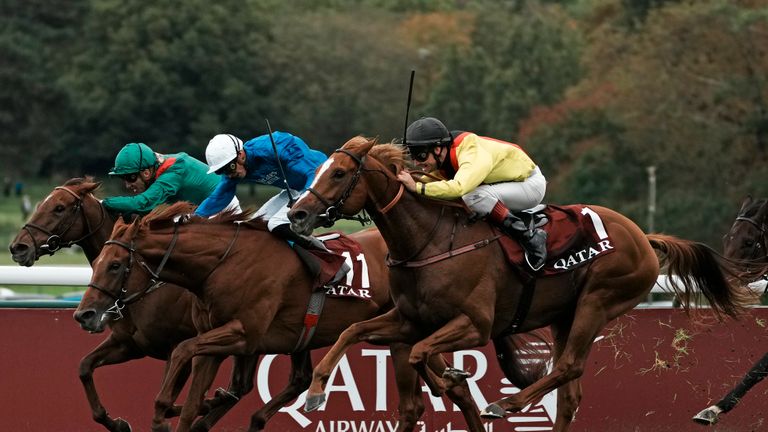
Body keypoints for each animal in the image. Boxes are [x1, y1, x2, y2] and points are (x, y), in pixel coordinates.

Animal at [7, 178, 304, 432]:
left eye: (59, 208)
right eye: (38, 205)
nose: (18, 248)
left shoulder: (178, 346)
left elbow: (168, 400)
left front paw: (200, 404)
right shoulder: (131, 344)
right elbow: (84, 367)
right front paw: (117, 423)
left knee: (248, 385)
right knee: (251, 384)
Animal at [76, 203, 486, 432]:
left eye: (115, 265)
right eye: (98, 260)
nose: (85, 314)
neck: (221, 264)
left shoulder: (242, 333)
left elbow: (182, 357)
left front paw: (162, 412)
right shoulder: (213, 341)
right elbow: (191, 404)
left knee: (441, 395)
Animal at [286, 138, 760, 432]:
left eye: (339, 173)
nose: (297, 214)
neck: (430, 240)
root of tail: (644, 236)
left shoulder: (474, 324)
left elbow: (422, 354)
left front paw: (452, 380)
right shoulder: (408, 319)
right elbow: (352, 332)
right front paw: (315, 393)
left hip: (598, 301)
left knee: (568, 367)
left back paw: (505, 404)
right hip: (566, 315)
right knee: (570, 392)